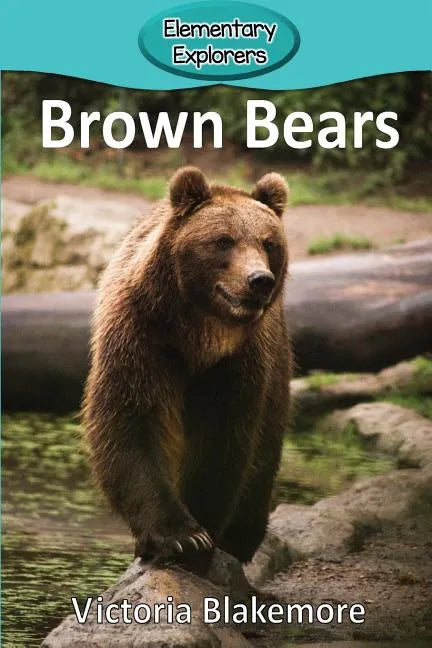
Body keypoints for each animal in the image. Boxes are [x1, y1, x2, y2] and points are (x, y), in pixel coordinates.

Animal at [83, 166, 292, 567]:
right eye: (224, 241)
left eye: (269, 243)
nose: (259, 280)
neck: (198, 335)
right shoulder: (140, 337)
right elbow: (131, 422)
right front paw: (180, 537)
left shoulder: (238, 362)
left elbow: (221, 440)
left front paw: (203, 535)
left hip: (278, 374)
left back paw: (241, 537)